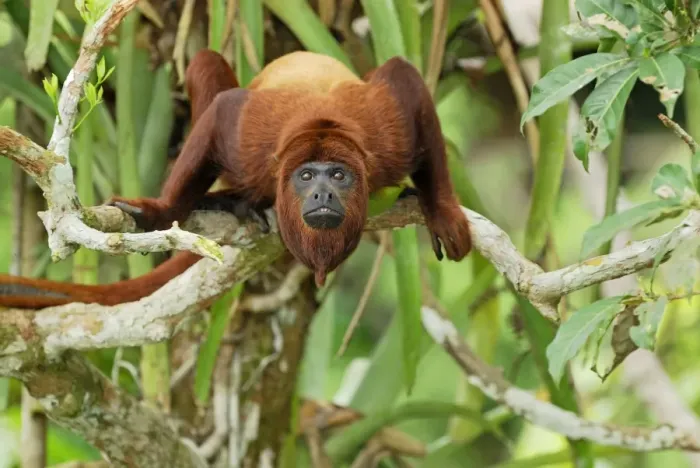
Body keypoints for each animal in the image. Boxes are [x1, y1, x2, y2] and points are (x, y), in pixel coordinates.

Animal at [0, 49, 471, 309]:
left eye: (338, 175)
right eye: (305, 176)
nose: (322, 193)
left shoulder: (386, 138)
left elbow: (404, 78)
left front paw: (442, 210)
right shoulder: (251, 144)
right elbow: (223, 110)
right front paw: (161, 210)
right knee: (204, 64)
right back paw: (231, 201)